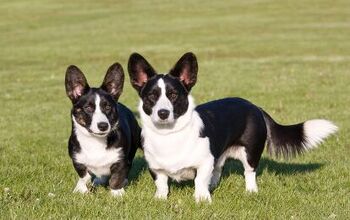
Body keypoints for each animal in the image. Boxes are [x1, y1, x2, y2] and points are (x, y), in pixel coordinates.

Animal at [64, 62, 141, 197]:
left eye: (108, 107)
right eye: (88, 108)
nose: (103, 125)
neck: (95, 140)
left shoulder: (121, 160)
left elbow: (116, 177)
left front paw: (117, 193)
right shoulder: (77, 160)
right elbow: (84, 175)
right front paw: (81, 189)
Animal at [127, 52, 338, 203]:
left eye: (173, 95)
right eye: (151, 96)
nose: (163, 113)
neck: (169, 134)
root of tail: (254, 106)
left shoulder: (204, 162)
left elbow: (199, 181)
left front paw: (202, 199)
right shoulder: (156, 168)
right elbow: (162, 184)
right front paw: (160, 199)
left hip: (251, 152)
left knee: (249, 172)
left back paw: (251, 191)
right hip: (221, 154)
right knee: (218, 169)